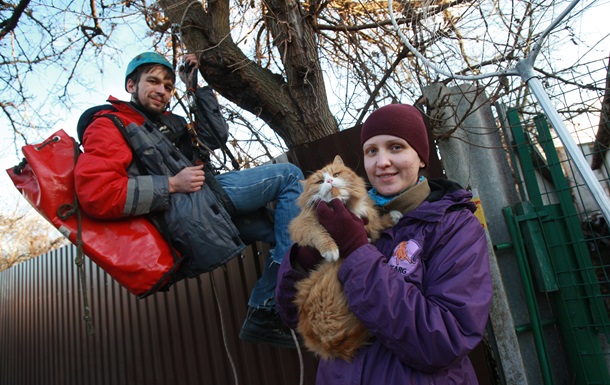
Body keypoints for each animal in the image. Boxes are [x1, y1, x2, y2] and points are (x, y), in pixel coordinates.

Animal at [288, 155, 400, 360]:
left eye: (336, 174)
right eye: (319, 181)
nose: (330, 181)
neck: (344, 207)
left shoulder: (366, 219)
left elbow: (375, 223)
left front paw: (391, 217)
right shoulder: (302, 225)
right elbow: (319, 232)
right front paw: (331, 249)